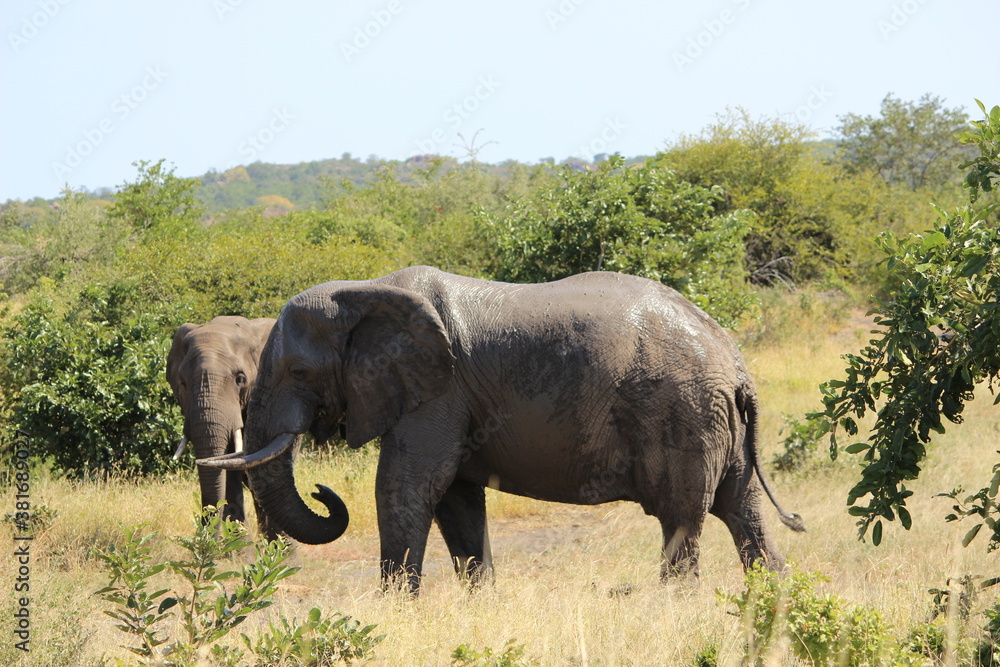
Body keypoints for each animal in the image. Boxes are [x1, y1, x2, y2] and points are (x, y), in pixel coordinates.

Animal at [197, 268, 804, 596]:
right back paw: (774, 602)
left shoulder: (438, 390)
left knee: (681, 520)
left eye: (299, 372)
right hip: (717, 421)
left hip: (683, 414)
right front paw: (480, 602)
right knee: (742, 510)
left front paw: (395, 612)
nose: (323, 491)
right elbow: (456, 499)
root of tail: (736, 363)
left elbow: (405, 485)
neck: (367, 290)